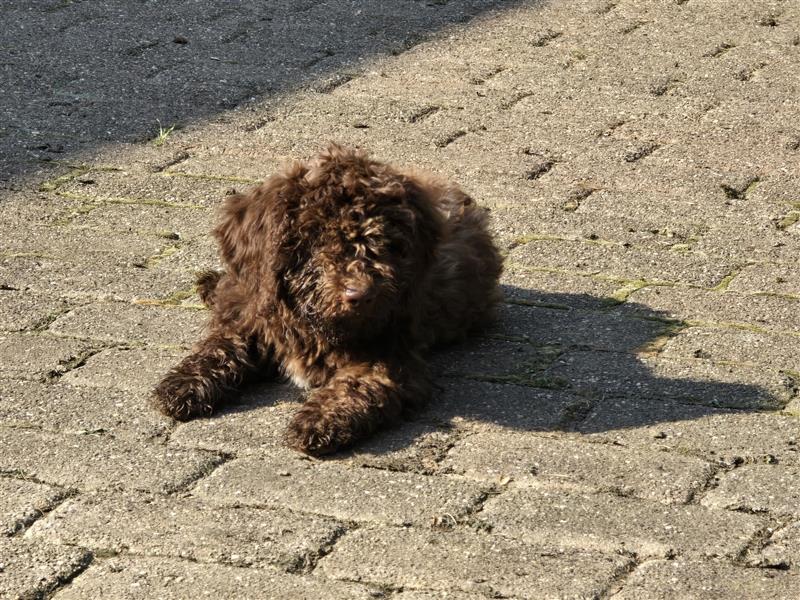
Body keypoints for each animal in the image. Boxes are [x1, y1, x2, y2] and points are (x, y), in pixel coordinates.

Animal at [152, 145, 500, 454]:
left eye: (386, 244)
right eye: (318, 241)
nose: (361, 294)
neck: (313, 325)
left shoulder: (390, 355)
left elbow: (356, 387)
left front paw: (318, 421)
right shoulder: (254, 317)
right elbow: (221, 344)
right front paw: (182, 384)